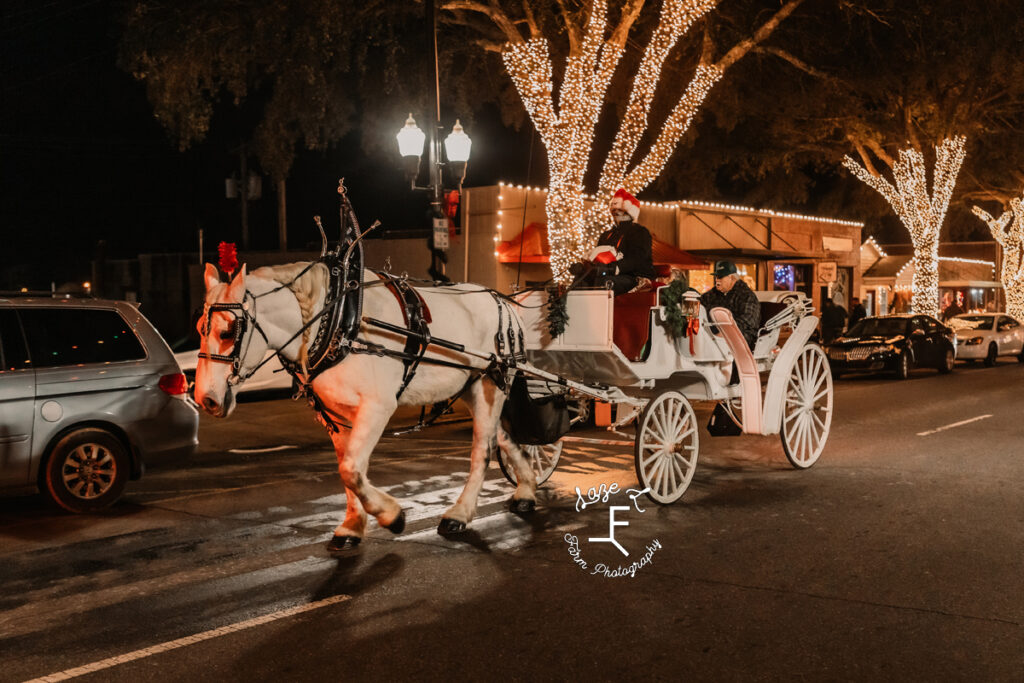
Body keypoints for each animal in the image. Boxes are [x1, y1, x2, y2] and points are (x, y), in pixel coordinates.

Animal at [194, 262, 540, 548]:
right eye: (200, 328)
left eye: (228, 331)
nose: (205, 399)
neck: (338, 325)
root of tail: (503, 303)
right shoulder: (335, 415)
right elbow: (349, 470)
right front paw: (352, 526)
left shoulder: (378, 407)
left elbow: (351, 469)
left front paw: (392, 515)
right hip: (471, 388)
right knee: (500, 437)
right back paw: (526, 489)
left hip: (490, 385)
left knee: (482, 449)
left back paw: (460, 513)